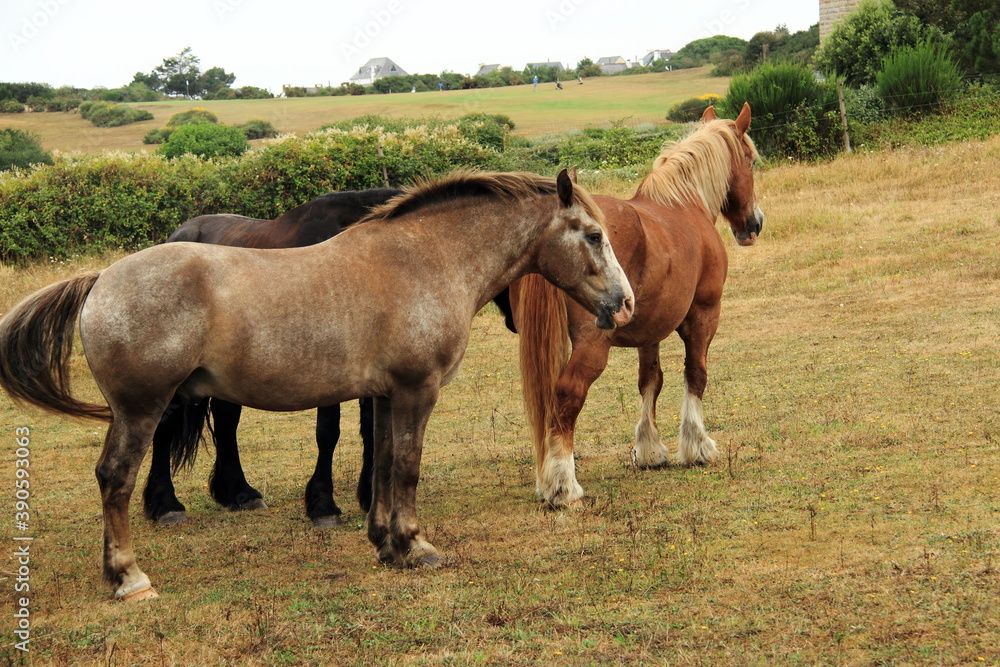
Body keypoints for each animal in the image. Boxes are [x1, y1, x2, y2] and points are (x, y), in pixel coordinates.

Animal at [146, 187, 400, 528]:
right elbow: (328, 431)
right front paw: (324, 506)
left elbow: (373, 429)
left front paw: (371, 496)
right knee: (165, 423)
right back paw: (166, 505)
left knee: (226, 421)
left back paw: (240, 493)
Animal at [512, 107, 760, 508]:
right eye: (752, 161)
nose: (754, 225)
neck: (683, 205)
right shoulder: (704, 314)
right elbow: (696, 374)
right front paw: (697, 446)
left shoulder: (650, 330)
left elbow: (650, 381)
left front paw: (648, 450)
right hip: (593, 345)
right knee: (567, 396)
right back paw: (563, 485)